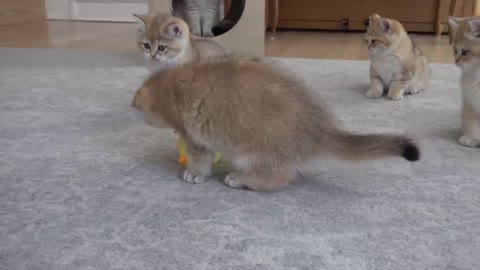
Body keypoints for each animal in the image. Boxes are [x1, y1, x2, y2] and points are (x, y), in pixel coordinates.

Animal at [131, 56, 420, 192]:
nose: (139, 116)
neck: (174, 85)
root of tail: (319, 127)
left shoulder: (195, 136)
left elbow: (200, 159)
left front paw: (194, 173)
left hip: (255, 150)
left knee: (280, 177)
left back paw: (240, 179)